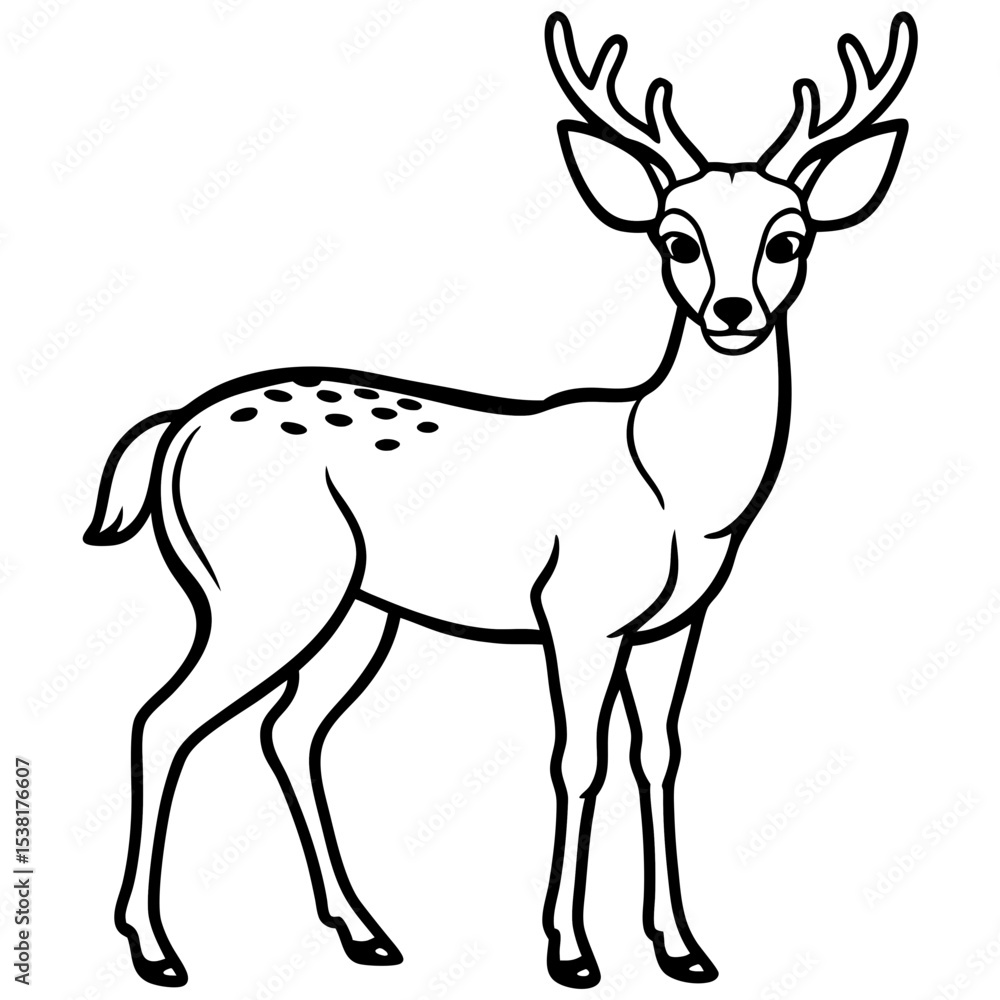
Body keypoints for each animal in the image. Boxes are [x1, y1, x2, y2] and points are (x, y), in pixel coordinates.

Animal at [85, 10, 916, 989]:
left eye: (790, 238)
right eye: (676, 238)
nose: (733, 310)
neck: (681, 494)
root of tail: (174, 429)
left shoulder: (676, 622)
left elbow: (660, 756)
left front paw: (682, 949)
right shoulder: (577, 610)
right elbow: (578, 761)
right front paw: (571, 951)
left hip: (357, 609)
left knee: (288, 731)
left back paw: (364, 931)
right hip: (258, 587)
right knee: (161, 719)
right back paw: (155, 949)